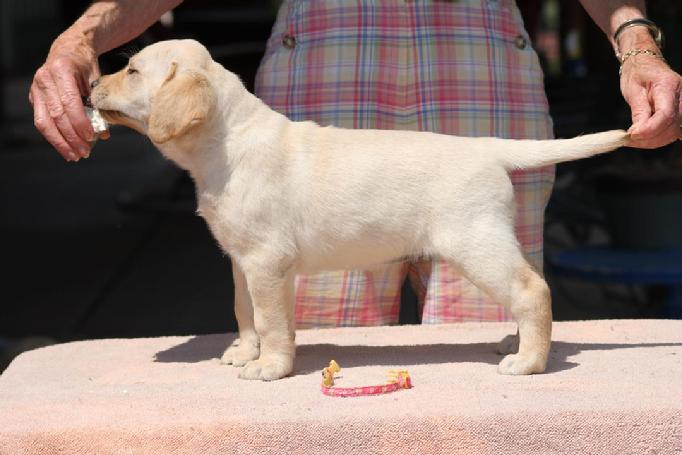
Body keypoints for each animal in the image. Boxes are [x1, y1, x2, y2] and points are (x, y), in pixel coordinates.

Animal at [91, 40, 628, 382]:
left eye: (132, 71)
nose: (92, 80)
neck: (227, 140)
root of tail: (486, 148)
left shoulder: (267, 261)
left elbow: (270, 321)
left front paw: (270, 366)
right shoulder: (243, 262)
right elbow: (245, 313)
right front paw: (244, 353)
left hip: (475, 244)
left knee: (532, 289)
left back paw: (528, 361)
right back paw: (515, 344)